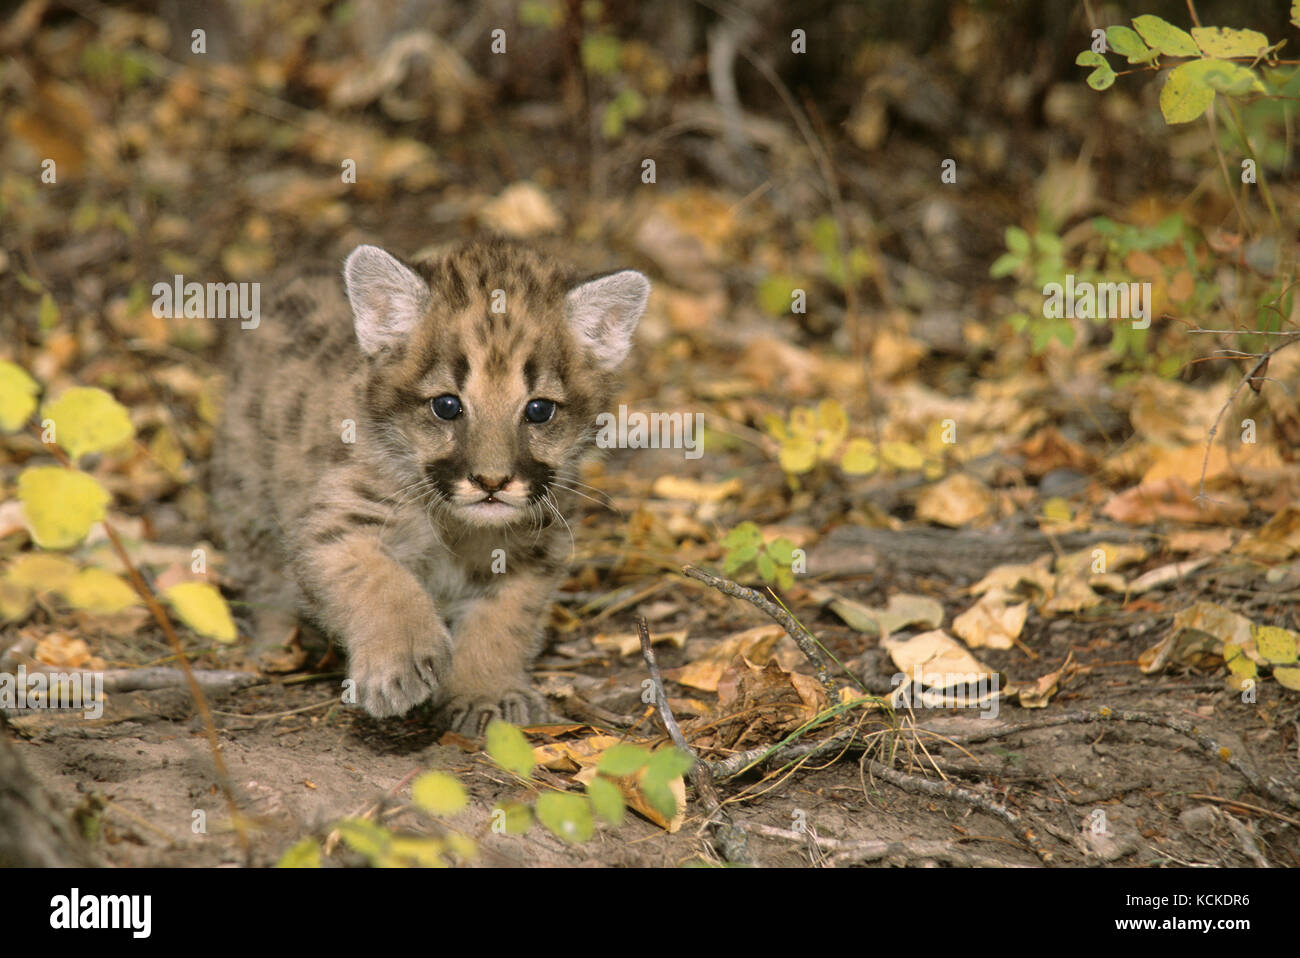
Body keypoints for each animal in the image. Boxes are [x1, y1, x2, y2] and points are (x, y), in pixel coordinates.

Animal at [211, 240, 650, 733]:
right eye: (446, 406)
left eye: (539, 410)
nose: (492, 481)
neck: (457, 528)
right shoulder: (339, 523)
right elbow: (379, 580)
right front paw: (399, 665)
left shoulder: (536, 548)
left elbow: (506, 619)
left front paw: (485, 693)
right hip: (247, 493)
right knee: (263, 574)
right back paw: (277, 644)